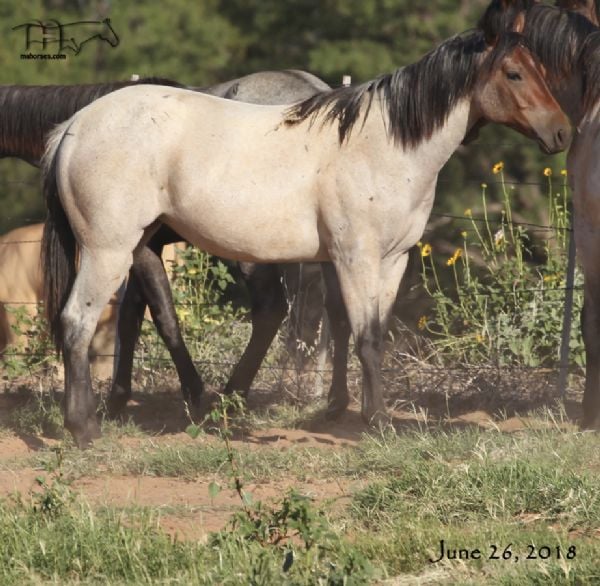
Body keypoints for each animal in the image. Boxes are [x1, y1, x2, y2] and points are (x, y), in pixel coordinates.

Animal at [43, 29, 572, 444]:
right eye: (514, 74)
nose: (563, 132)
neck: (381, 146)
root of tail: (74, 126)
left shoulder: (393, 260)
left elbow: (372, 333)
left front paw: (363, 413)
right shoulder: (356, 258)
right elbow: (365, 337)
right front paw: (378, 422)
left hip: (136, 247)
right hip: (106, 251)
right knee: (77, 322)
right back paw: (84, 429)